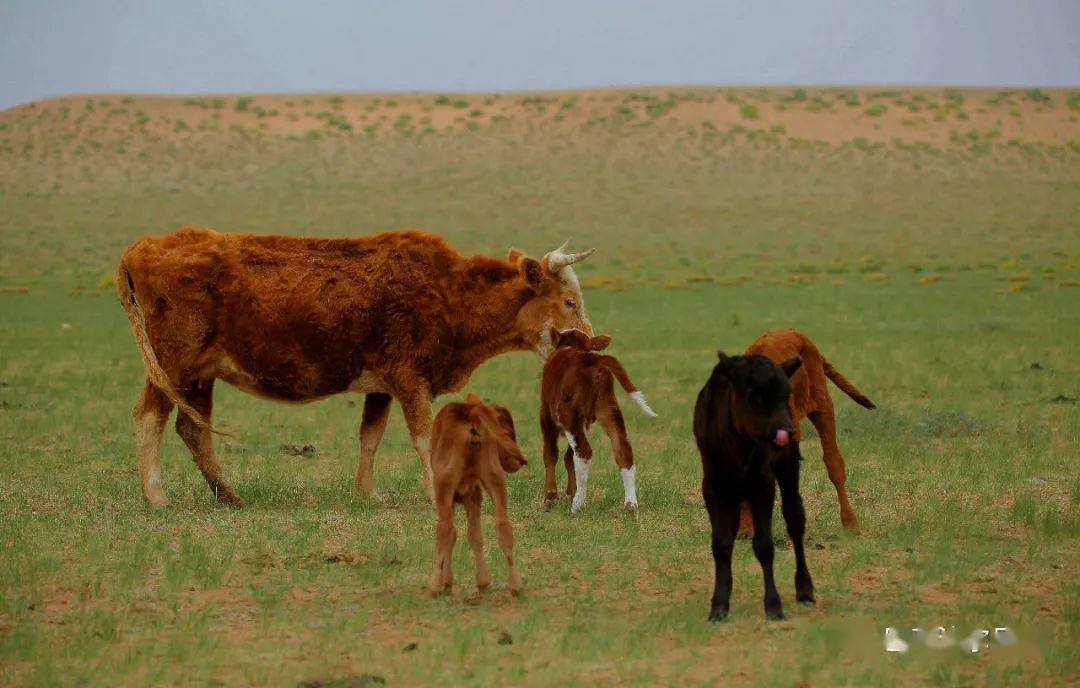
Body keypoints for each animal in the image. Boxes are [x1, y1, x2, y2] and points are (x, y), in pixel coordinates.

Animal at [116, 227, 600, 507]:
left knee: (192, 430)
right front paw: (434, 493)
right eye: (569, 301)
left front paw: (368, 492)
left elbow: (371, 435)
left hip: (200, 376)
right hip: (173, 364)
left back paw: (229, 497)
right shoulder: (410, 379)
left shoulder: (382, 385)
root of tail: (142, 248)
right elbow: (424, 438)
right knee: (148, 417)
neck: (449, 291)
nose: (593, 343)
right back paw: (156, 496)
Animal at [427, 395, 524, 591]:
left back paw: (434, 585)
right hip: (495, 479)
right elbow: (475, 535)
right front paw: (483, 581)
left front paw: (446, 581)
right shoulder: (474, 496)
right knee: (504, 526)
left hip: (443, 485)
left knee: (444, 529)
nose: (516, 463)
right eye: (507, 432)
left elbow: (454, 534)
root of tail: (470, 412)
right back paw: (516, 584)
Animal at [540, 326, 656, 509]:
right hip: (610, 410)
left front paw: (550, 497)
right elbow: (568, 458)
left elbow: (551, 454)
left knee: (584, 453)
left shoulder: (546, 416)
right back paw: (630, 504)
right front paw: (569, 492)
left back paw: (578, 505)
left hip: (570, 416)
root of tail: (591, 359)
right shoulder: (585, 424)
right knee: (623, 450)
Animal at [695, 352, 812, 617]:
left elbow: (764, 545)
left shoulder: (763, 485)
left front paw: (774, 606)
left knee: (795, 517)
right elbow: (721, 543)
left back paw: (805, 589)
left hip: (788, 467)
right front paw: (718, 605)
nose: (786, 431)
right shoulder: (712, 487)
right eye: (753, 396)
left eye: (786, 394)